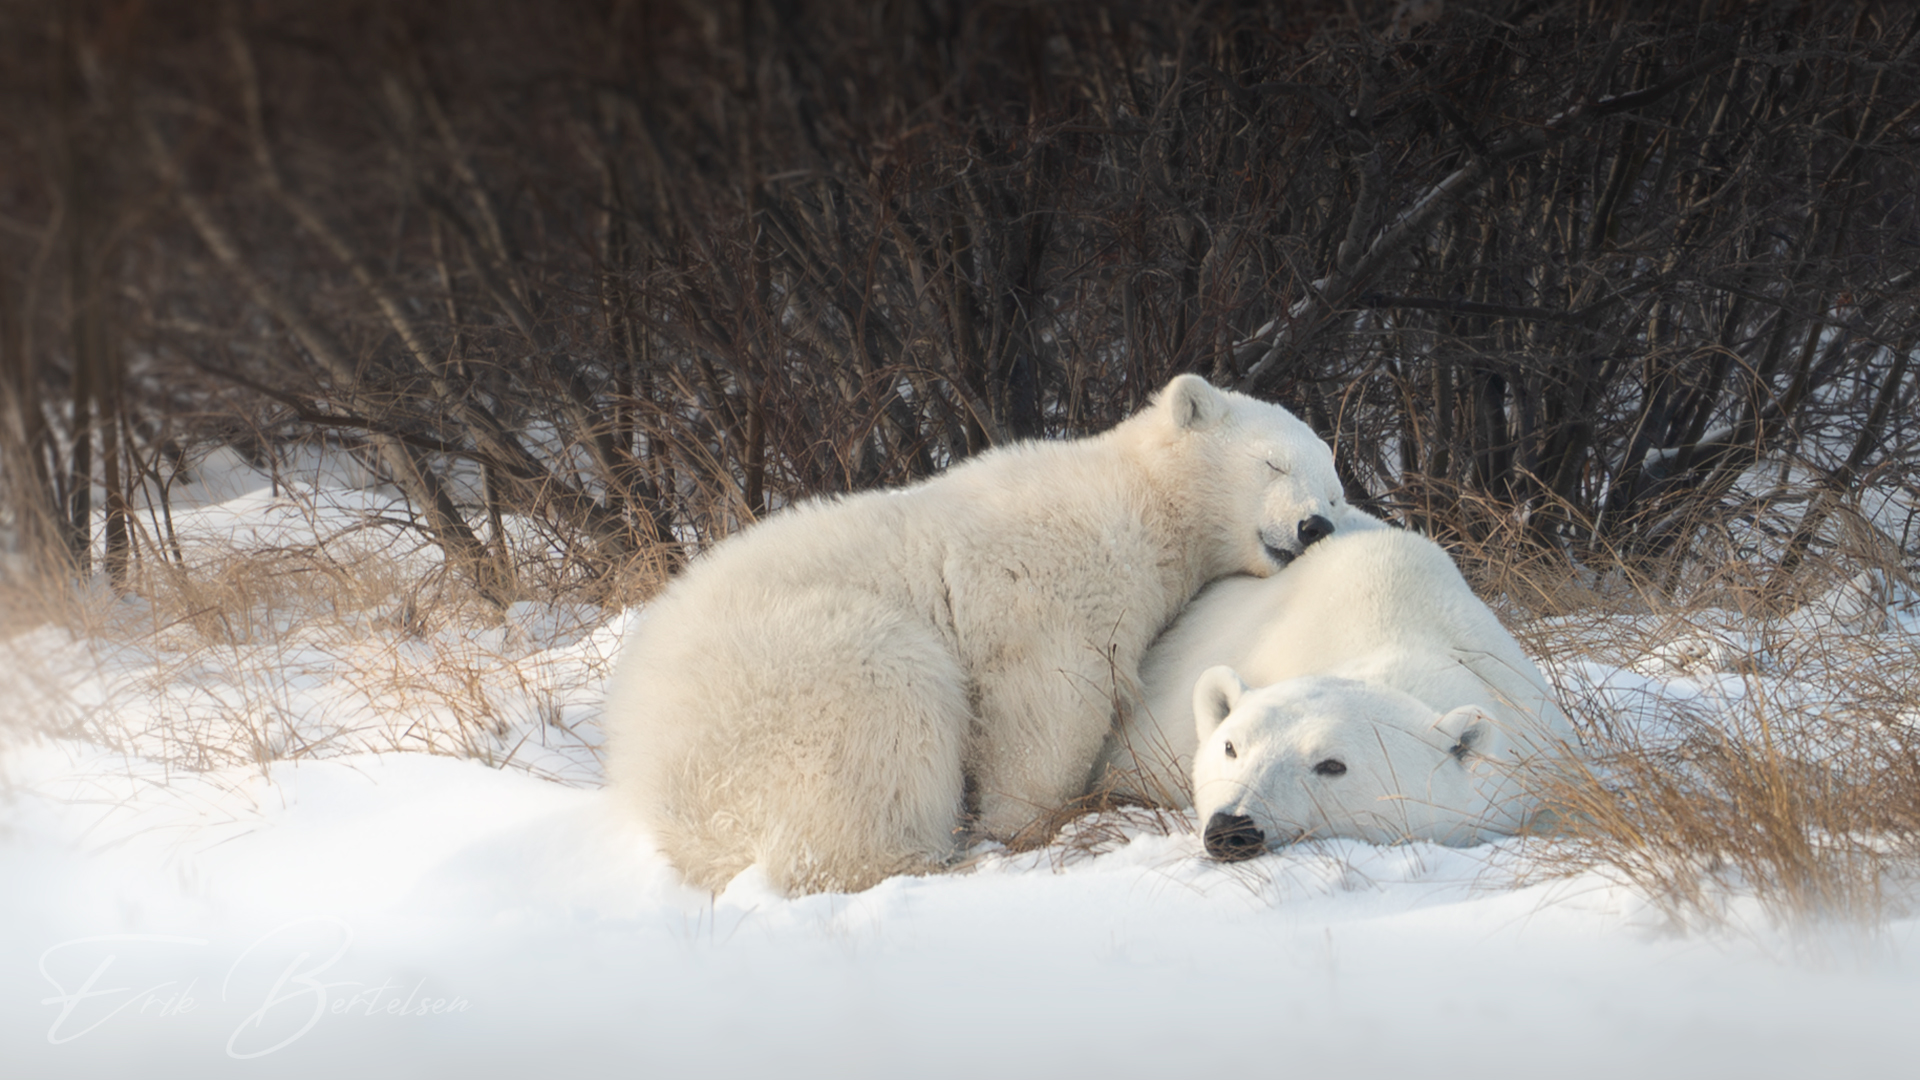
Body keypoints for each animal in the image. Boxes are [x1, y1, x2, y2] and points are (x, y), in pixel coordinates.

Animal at [604, 374, 1357, 895]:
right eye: (1273, 464)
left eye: (1335, 489)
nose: (1314, 525)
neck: (1143, 499)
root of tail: (642, 757)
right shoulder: (1049, 586)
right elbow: (1045, 709)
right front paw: (1033, 825)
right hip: (797, 670)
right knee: (884, 718)